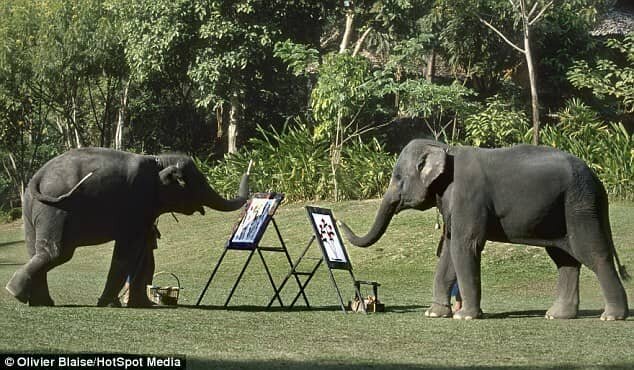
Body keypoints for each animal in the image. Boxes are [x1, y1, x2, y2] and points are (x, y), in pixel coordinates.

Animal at [4, 147, 248, 306]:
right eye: (197, 182)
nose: (246, 169)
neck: (157, 159)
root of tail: (39, 176)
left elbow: (145, 252)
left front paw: (141, 305)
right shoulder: (136, 203)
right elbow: (128, 251)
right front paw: (109, 303)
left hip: (32, 211)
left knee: (35, 250)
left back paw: (40, 301)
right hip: (56, 211)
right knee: (57, 253)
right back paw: (15, 291)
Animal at [338, 140, 624, 320]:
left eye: (397, 178)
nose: (338, 222)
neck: (444, 147)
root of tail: (599, 180)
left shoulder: (468, 197)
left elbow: (464, 246)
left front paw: (464, 317)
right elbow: (449, 250)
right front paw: (434, 313)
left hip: (579, 205)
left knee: (592, 253)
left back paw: (610, 317)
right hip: (560, 212)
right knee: (565, 259)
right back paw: (556, 316)